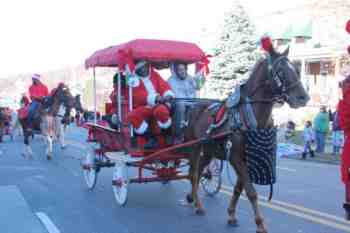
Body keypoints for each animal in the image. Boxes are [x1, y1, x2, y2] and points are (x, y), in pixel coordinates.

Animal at [186, 47, 308, 233]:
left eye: (296, 69)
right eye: (280, 71)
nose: (304, 97)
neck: (250, 116)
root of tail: (195, 106)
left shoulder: (247, 159)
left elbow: (239, 188)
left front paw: (231, 215)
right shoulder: (236, 157)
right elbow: (251, 191)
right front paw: (260, 224)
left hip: (208, 150)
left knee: (199, 172)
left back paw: (192, 198)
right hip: (195, 146)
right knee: (193, 175)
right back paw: (198, 205)